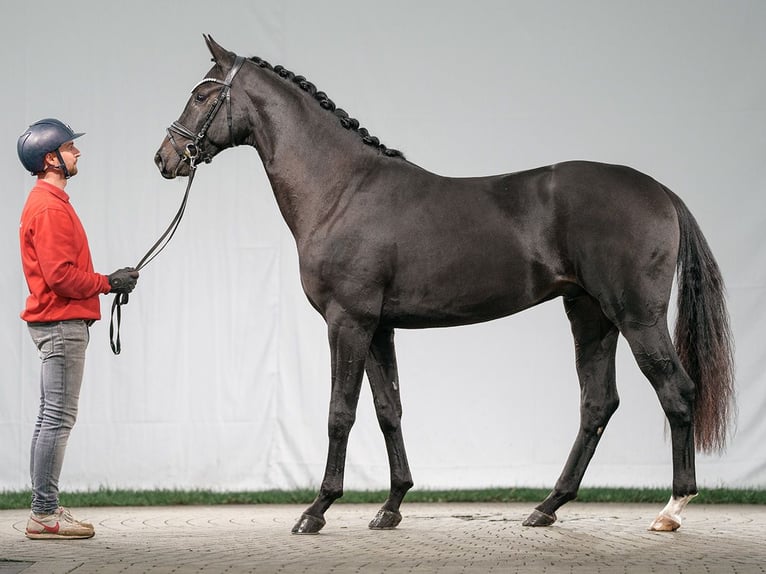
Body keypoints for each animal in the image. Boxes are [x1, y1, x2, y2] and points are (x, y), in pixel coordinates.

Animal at [153, 37, 736, 536]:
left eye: (202, 94)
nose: (165, 158)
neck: (343, 189)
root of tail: (659, 190)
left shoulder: (348, 321)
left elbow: (341, 412)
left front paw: (316, 510)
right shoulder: (378, 327)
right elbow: (388, 410)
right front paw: (390, 507)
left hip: (636, 317)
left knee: (676, 392)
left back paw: (671, 510)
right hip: (590, 314)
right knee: (597, 404)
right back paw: (546, 507)